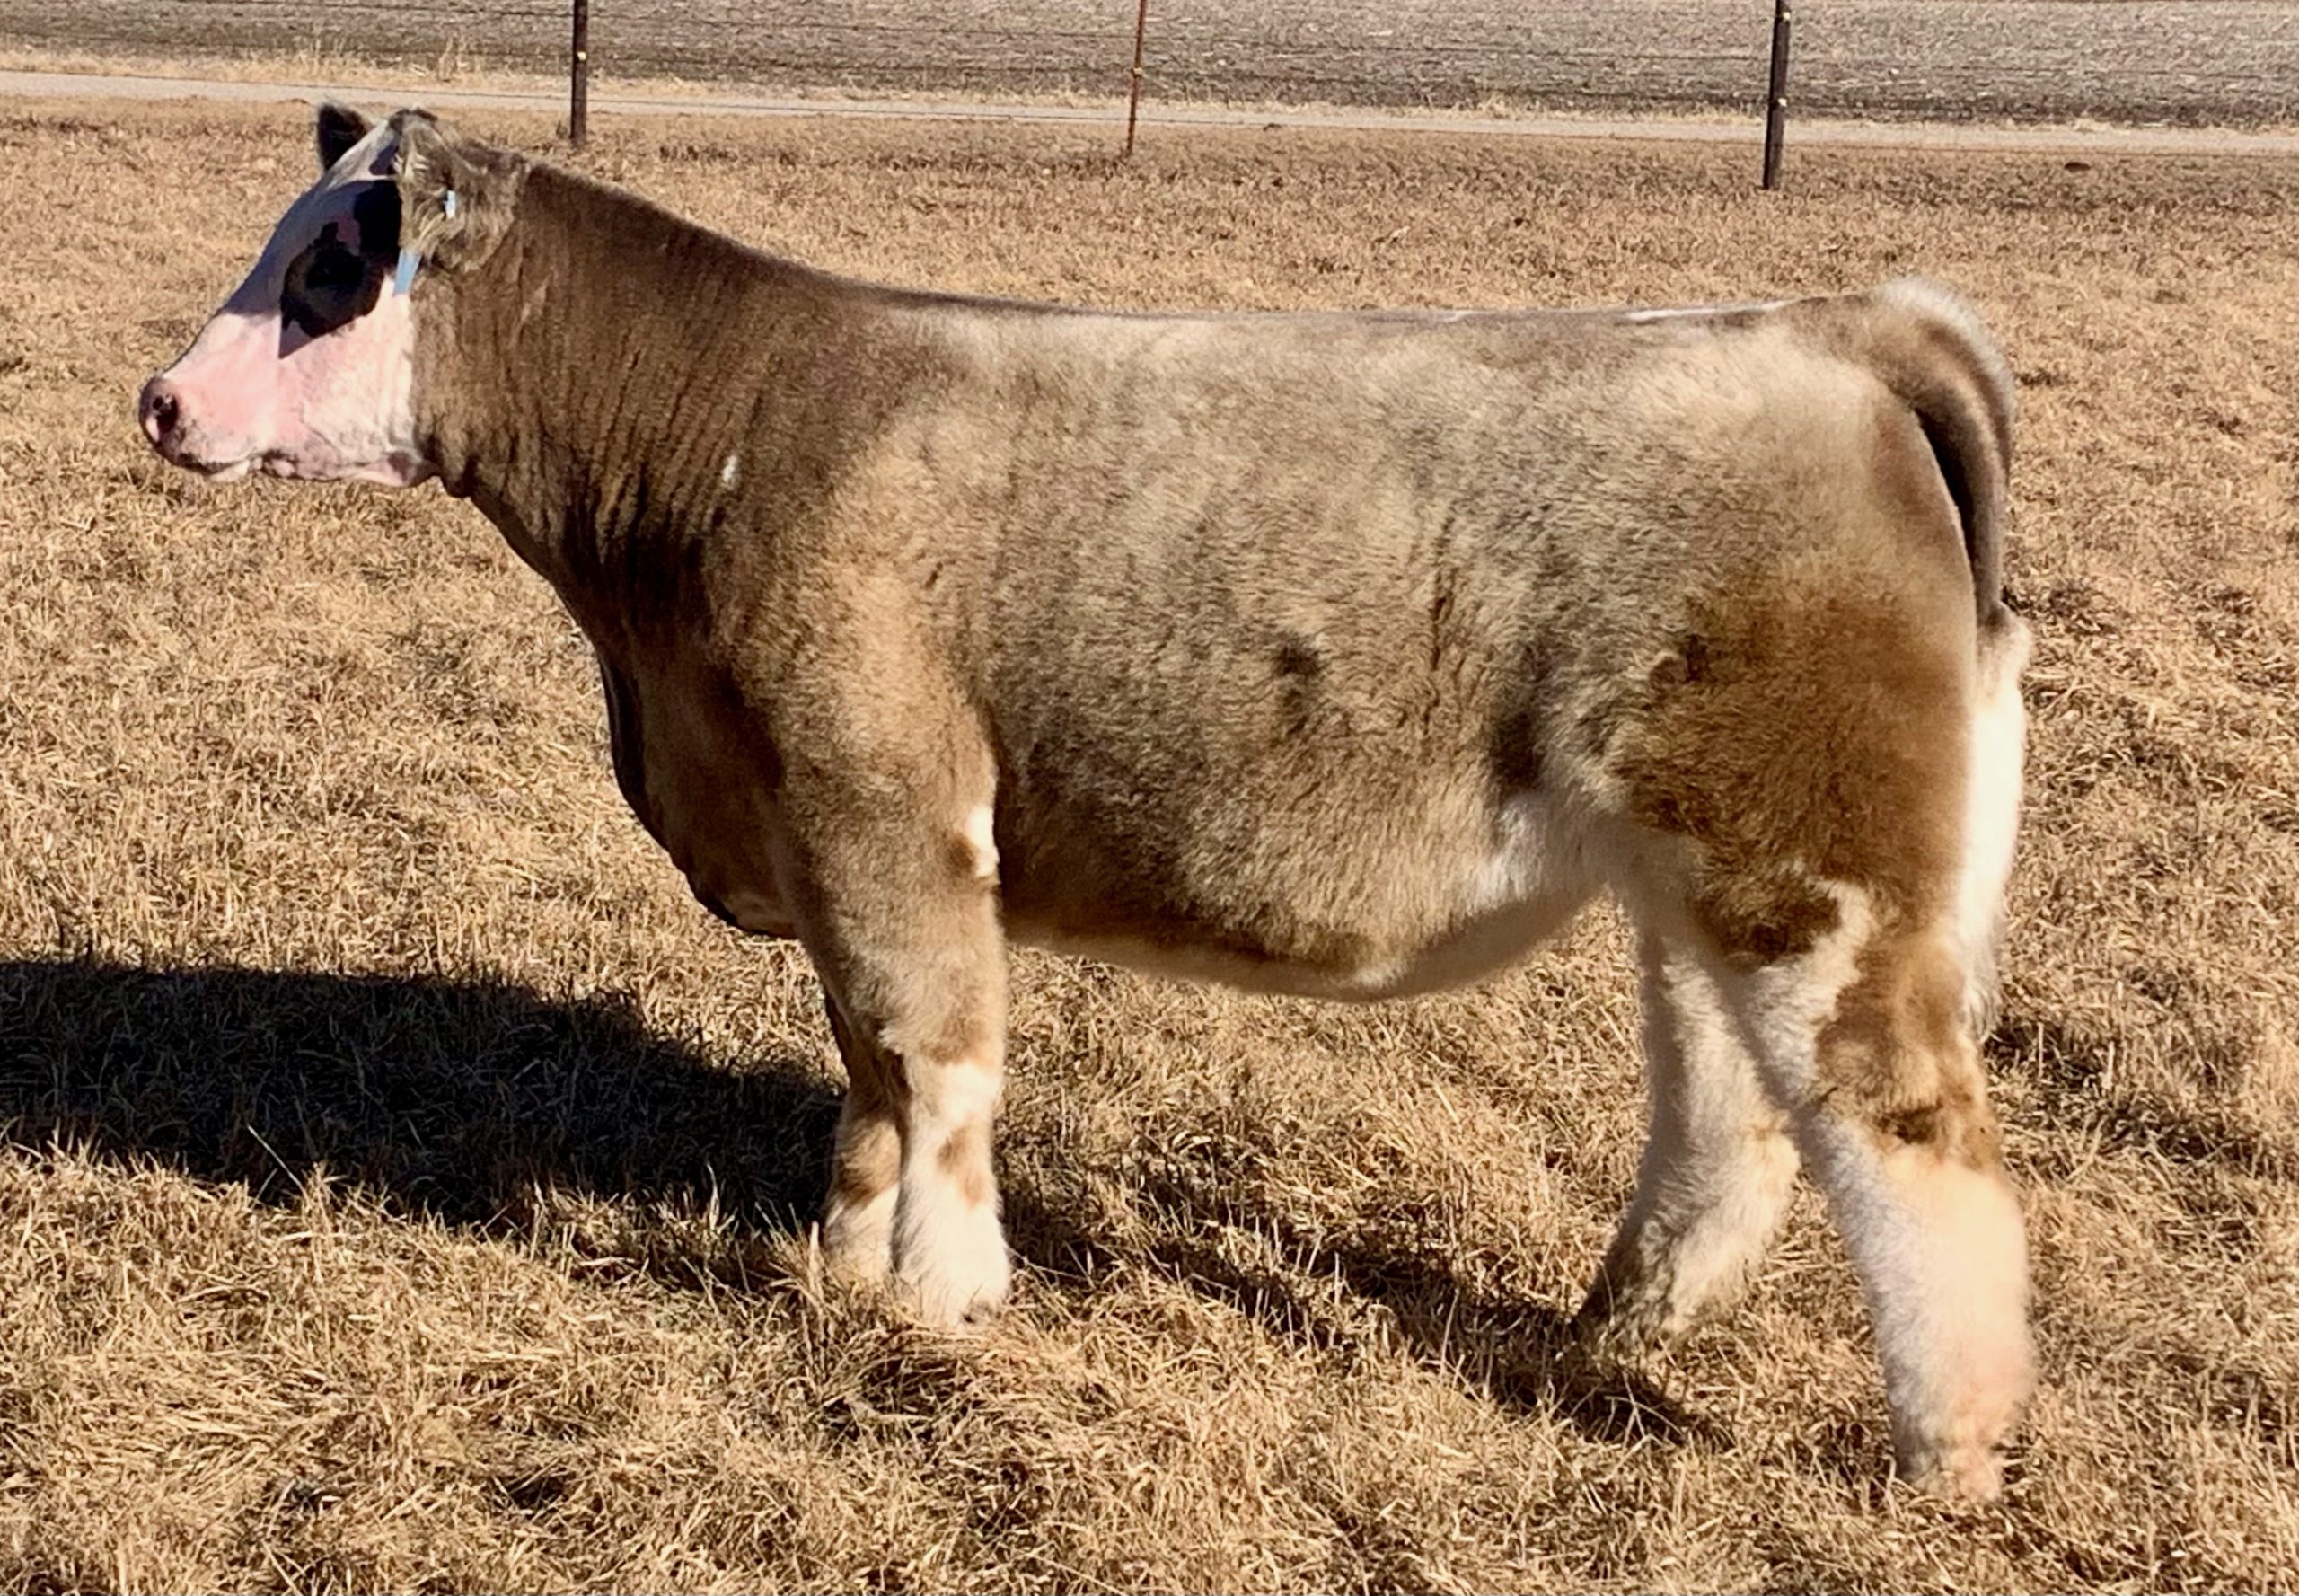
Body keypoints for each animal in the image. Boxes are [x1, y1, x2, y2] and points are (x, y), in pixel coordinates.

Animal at [139, 105, 2036, 1499]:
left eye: (331, 267)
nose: (161, 401)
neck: (726, 441)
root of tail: (1836, 329)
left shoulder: (885, 804)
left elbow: (936, 1058)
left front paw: (942, 1299)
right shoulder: (823, 832)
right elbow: (870, 1067)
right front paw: (847, 1257)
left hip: (1821, 860)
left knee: (1913, 1136)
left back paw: (1945, 1448)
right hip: (1701, 873)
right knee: (1728, 1116)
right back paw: (1621, 1333)